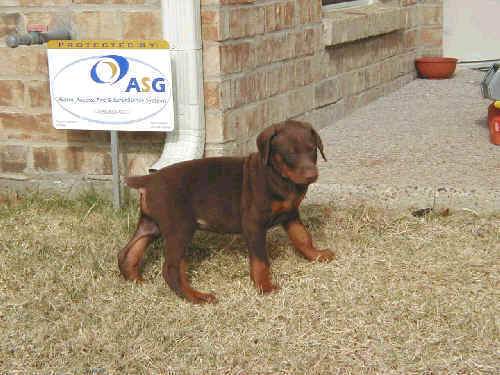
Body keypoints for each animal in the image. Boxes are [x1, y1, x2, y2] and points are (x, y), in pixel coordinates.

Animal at [118, 120, 334, 302]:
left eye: (312, 149)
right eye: (290, 153)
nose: (312, 175)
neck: (278, 176)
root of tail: (148, 180)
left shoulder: (290, 214)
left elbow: (302, 237)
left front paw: (316, 255)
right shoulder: (254, 224)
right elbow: (260, 260)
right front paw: (264, 287)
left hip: (151, 224)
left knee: (127, 253)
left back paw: (137, 281)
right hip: (180, 227)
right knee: (171, 269)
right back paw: (196, 296)